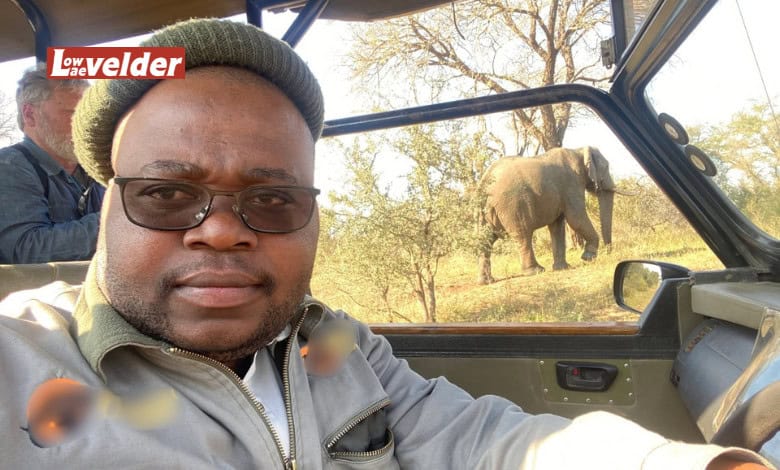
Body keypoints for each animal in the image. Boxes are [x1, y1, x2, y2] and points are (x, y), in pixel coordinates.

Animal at [477, 146, 618, 284]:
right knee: (523, 235)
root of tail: (485, 181)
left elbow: (557, 226)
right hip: (512, 206)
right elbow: (576, 218)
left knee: (486, 239)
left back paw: (486, 281)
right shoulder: (571, 183)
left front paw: (562, 268)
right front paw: (588, 257)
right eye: (606, 167)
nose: (608, 252)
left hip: (484, 210)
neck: (578, 150)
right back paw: (536, 271)